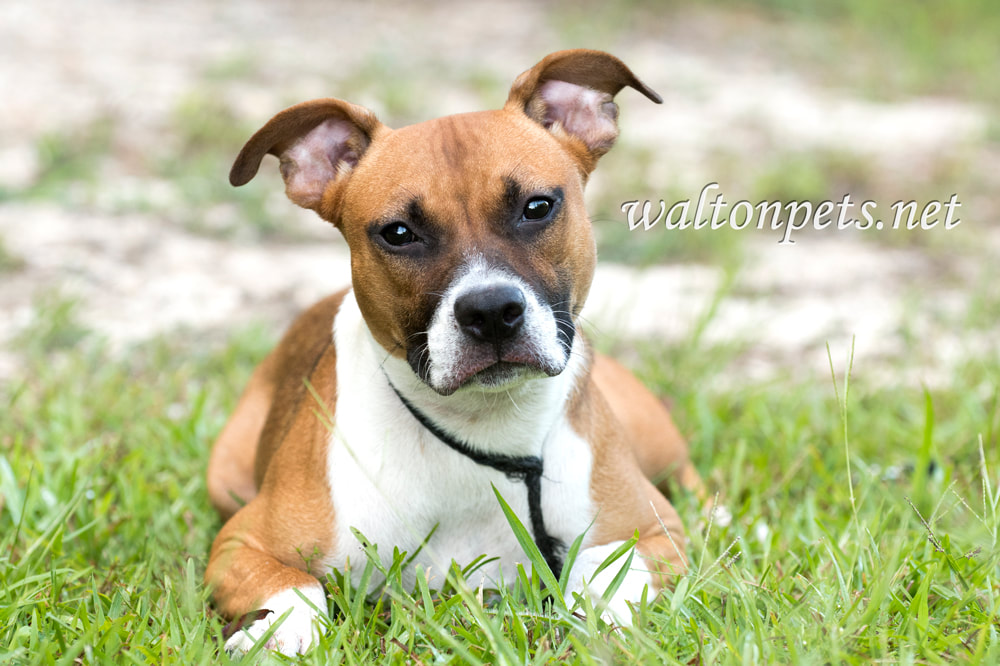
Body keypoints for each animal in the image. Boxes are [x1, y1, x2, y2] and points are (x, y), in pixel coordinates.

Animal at [206, 48, 700, 652]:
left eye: (538, 207)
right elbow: (298, 588)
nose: (490, 311)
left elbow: (604, 570)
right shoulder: (241, 543)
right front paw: (282, 637)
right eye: (398, 233)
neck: (481, 427)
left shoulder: (654, 532)